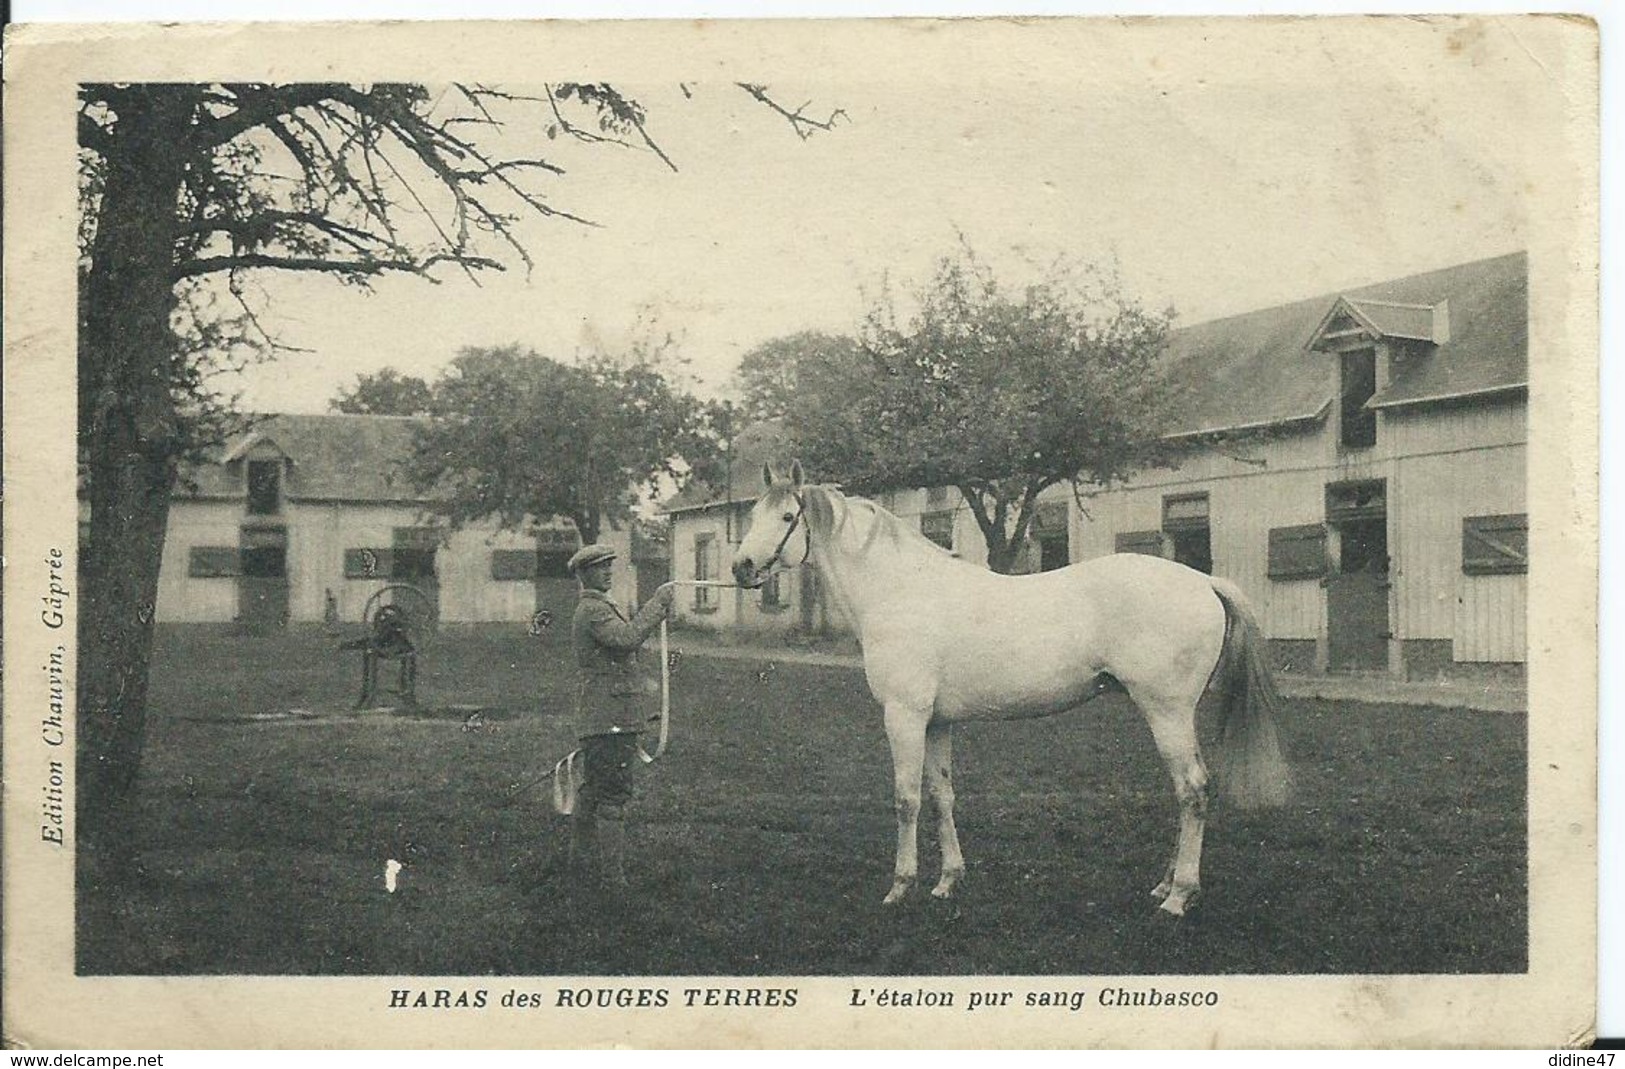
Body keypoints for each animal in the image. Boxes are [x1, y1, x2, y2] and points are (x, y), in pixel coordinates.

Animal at [731, 461, 1287, 916]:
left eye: (787, 517)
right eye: (753, 513)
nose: (741, 568)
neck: (901, 590)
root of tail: (1205, 582)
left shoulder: (904, 716)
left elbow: (906, 799)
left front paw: (901, 886)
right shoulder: (936, 721)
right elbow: (942, 796)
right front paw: (947, 881)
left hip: (1167, 712)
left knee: (1193, 790)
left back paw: (1178, 896)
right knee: (1185, 790)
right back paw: (1165, 885)